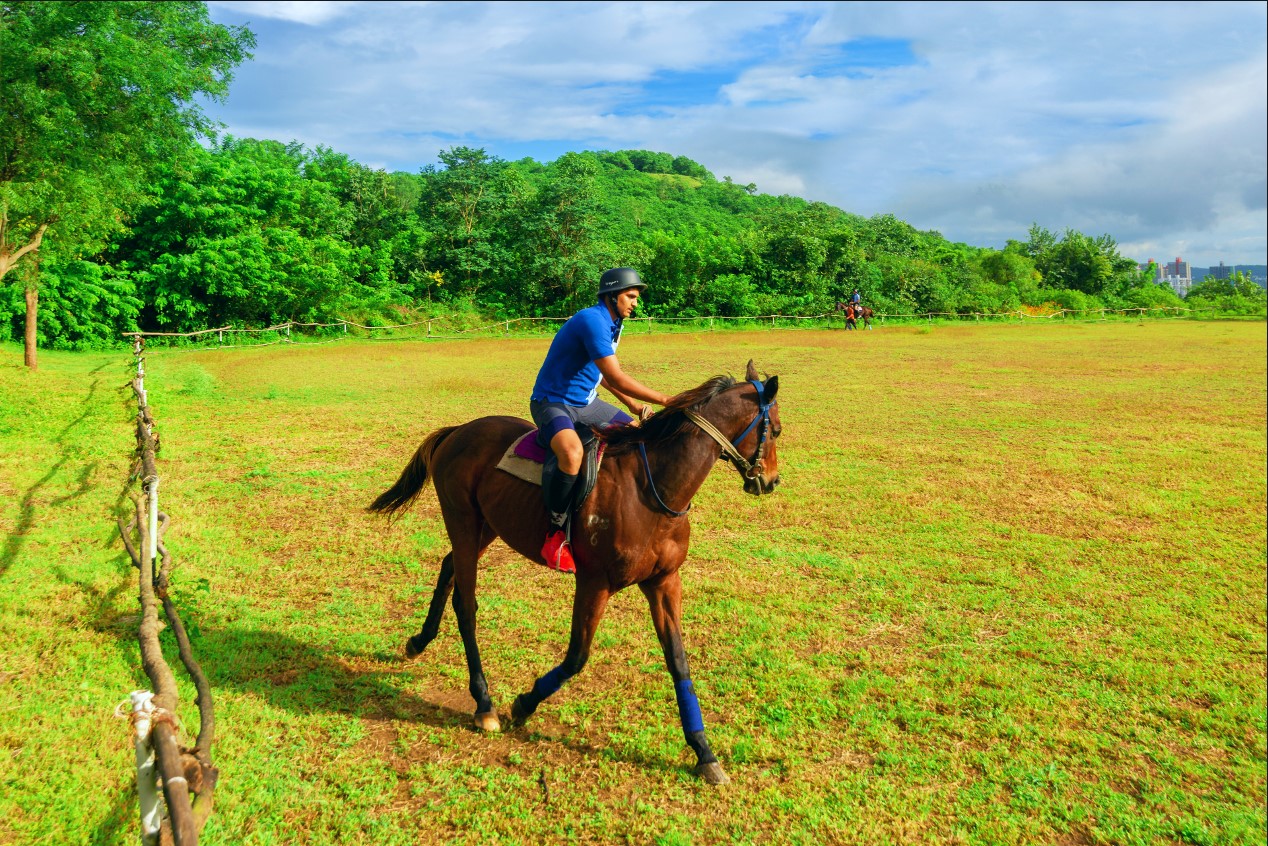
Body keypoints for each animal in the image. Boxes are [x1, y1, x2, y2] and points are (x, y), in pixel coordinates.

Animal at [368, 361, 781, 784]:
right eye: (777, 430)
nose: (771, 480)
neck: (652, 492)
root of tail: (458, 431)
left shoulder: (664, 581)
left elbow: (678, 660)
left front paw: (703, 751)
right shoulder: (595, 582)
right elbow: (576, 657)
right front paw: (524, 704)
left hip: (487, 526)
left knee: (448, 566)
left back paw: (419, 641)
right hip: (463, 521)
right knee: (466, 605)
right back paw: (483, 702)